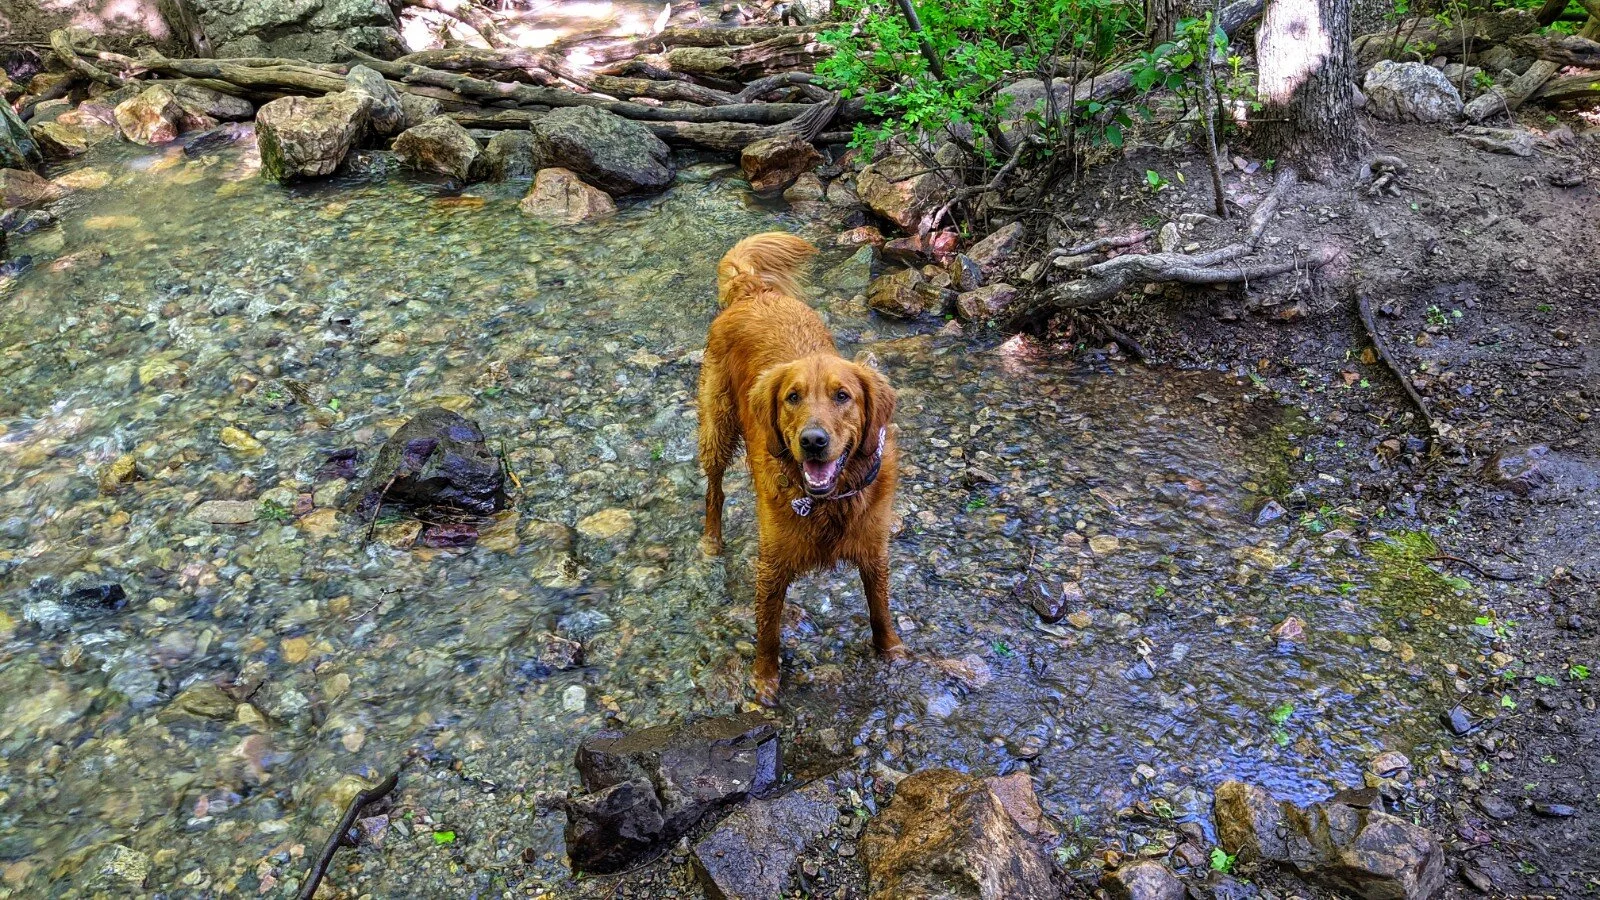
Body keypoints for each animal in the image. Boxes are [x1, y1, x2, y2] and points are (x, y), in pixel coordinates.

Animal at [697, 229, 908, 701]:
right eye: (792, 396)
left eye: (843, 396)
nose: (813, 442)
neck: (831, 500)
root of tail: (754, 291)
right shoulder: (772, 563)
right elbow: (768, 631)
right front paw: (764, 681)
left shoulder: (874, 549)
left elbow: (880, 609)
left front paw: (891, 652)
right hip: (716, 425)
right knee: (714, 488)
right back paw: (711, 540)